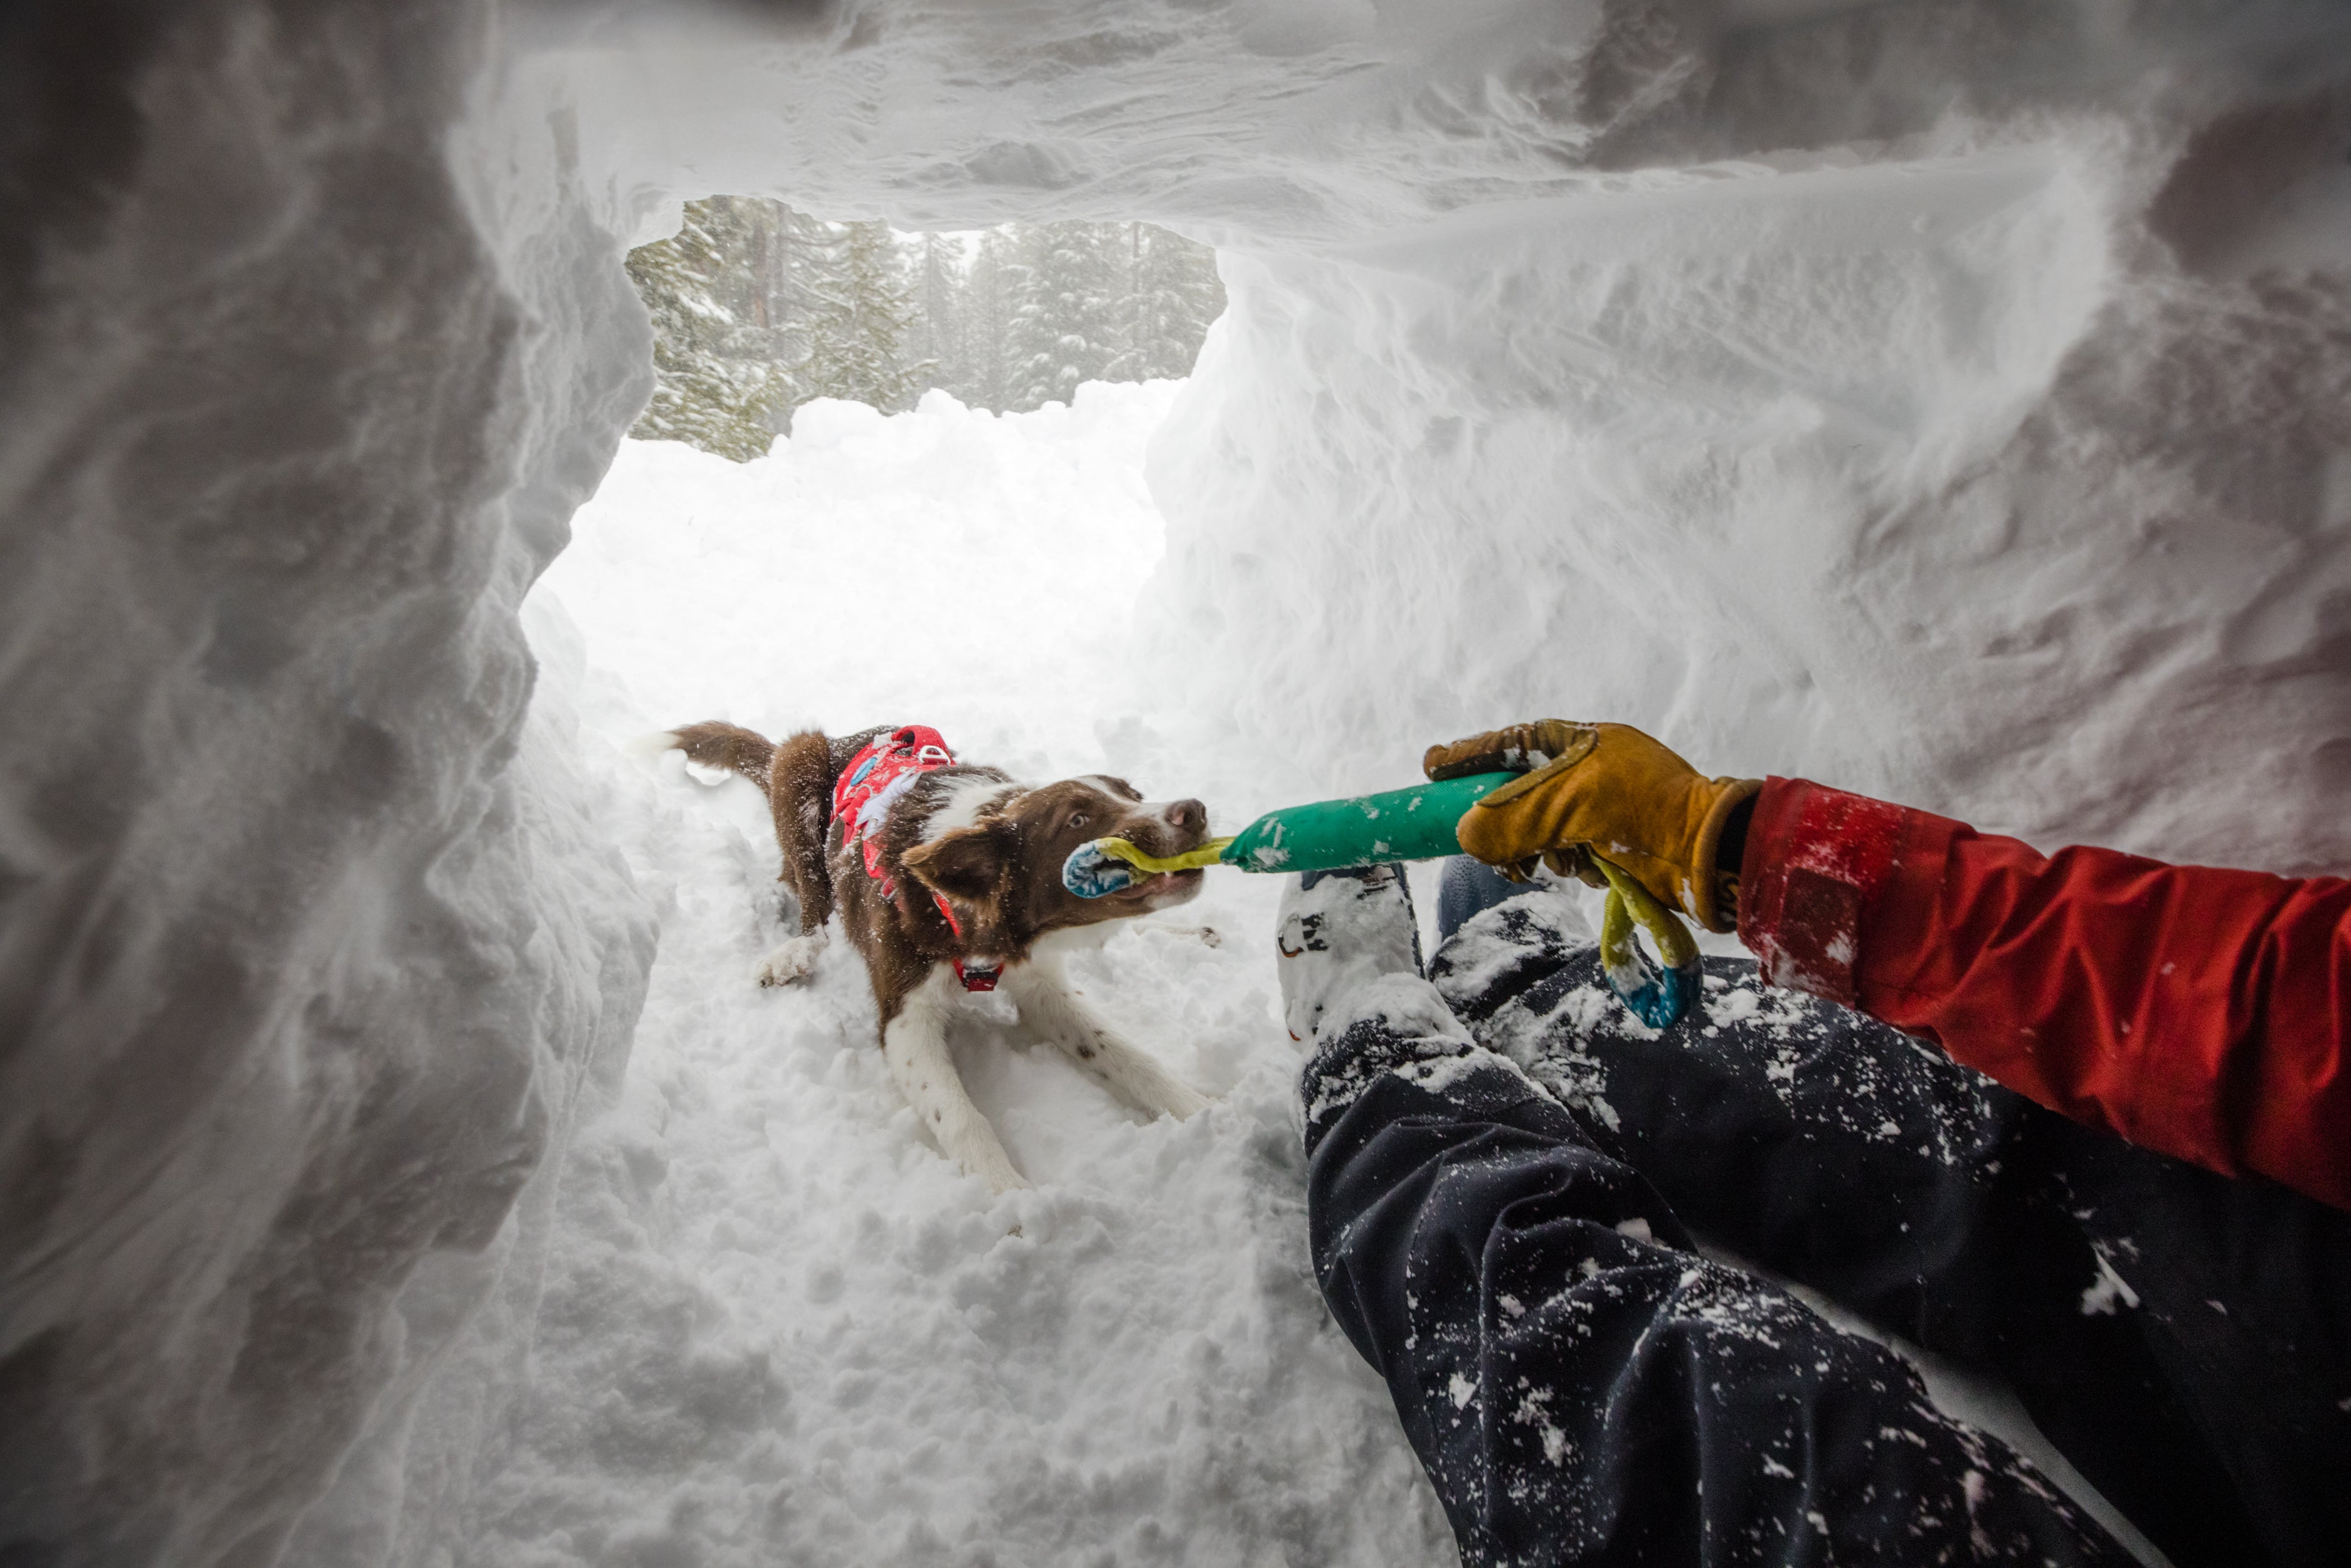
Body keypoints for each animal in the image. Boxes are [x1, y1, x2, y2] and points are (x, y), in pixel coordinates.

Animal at [658, 719, 1222, 1189]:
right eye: (1079, 819)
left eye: (1135, 795)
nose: (1194, 810)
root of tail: (844, 738)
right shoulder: (904, 1019)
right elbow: (959, 1115)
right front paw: (1016, 1202)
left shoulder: (1041, 985)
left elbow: (1128, 1055)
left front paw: (1205, 1111)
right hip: (799, 764)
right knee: (812, 903)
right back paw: (793, 952)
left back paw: (1191, 932)